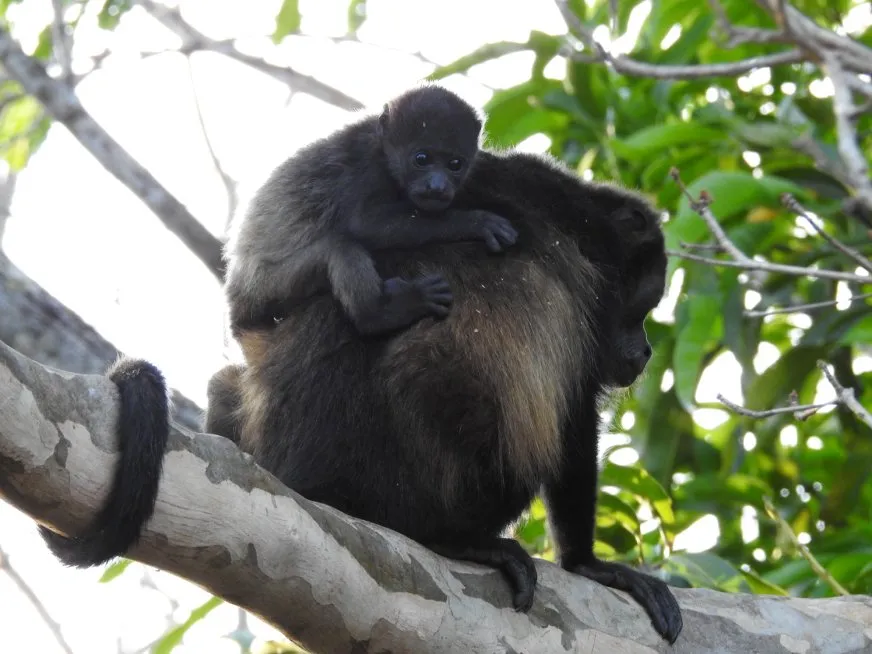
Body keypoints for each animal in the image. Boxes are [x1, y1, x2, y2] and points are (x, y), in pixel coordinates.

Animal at [208, 148, 682, 643]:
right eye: (643, 309)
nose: (645, 351)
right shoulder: (589, 298)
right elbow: (571, 423)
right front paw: (588, 564)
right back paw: (451, 540)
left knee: (227, 380)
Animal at [226, 84, 518, 351]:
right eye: (421, 158)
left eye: (455, 164)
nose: (438, 186)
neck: (384, 147)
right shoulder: (368, 165)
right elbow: (364, 224)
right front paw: (476, 221)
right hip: (269, 284)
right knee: (340, 248)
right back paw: (385, 312)